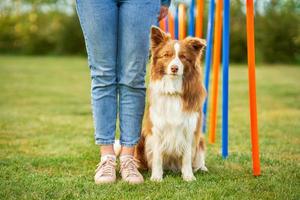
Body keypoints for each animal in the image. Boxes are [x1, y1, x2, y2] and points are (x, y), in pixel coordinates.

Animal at [134, 26, 207, 181]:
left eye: (183, 57)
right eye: (166, 55)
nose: (174, 68)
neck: (173, 90)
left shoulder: (189, 128)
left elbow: (187, 157)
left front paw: (188, 176)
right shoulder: (157, 128)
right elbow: (157, 157)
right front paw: (156, 177)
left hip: (200, 140)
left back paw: (202, 167)